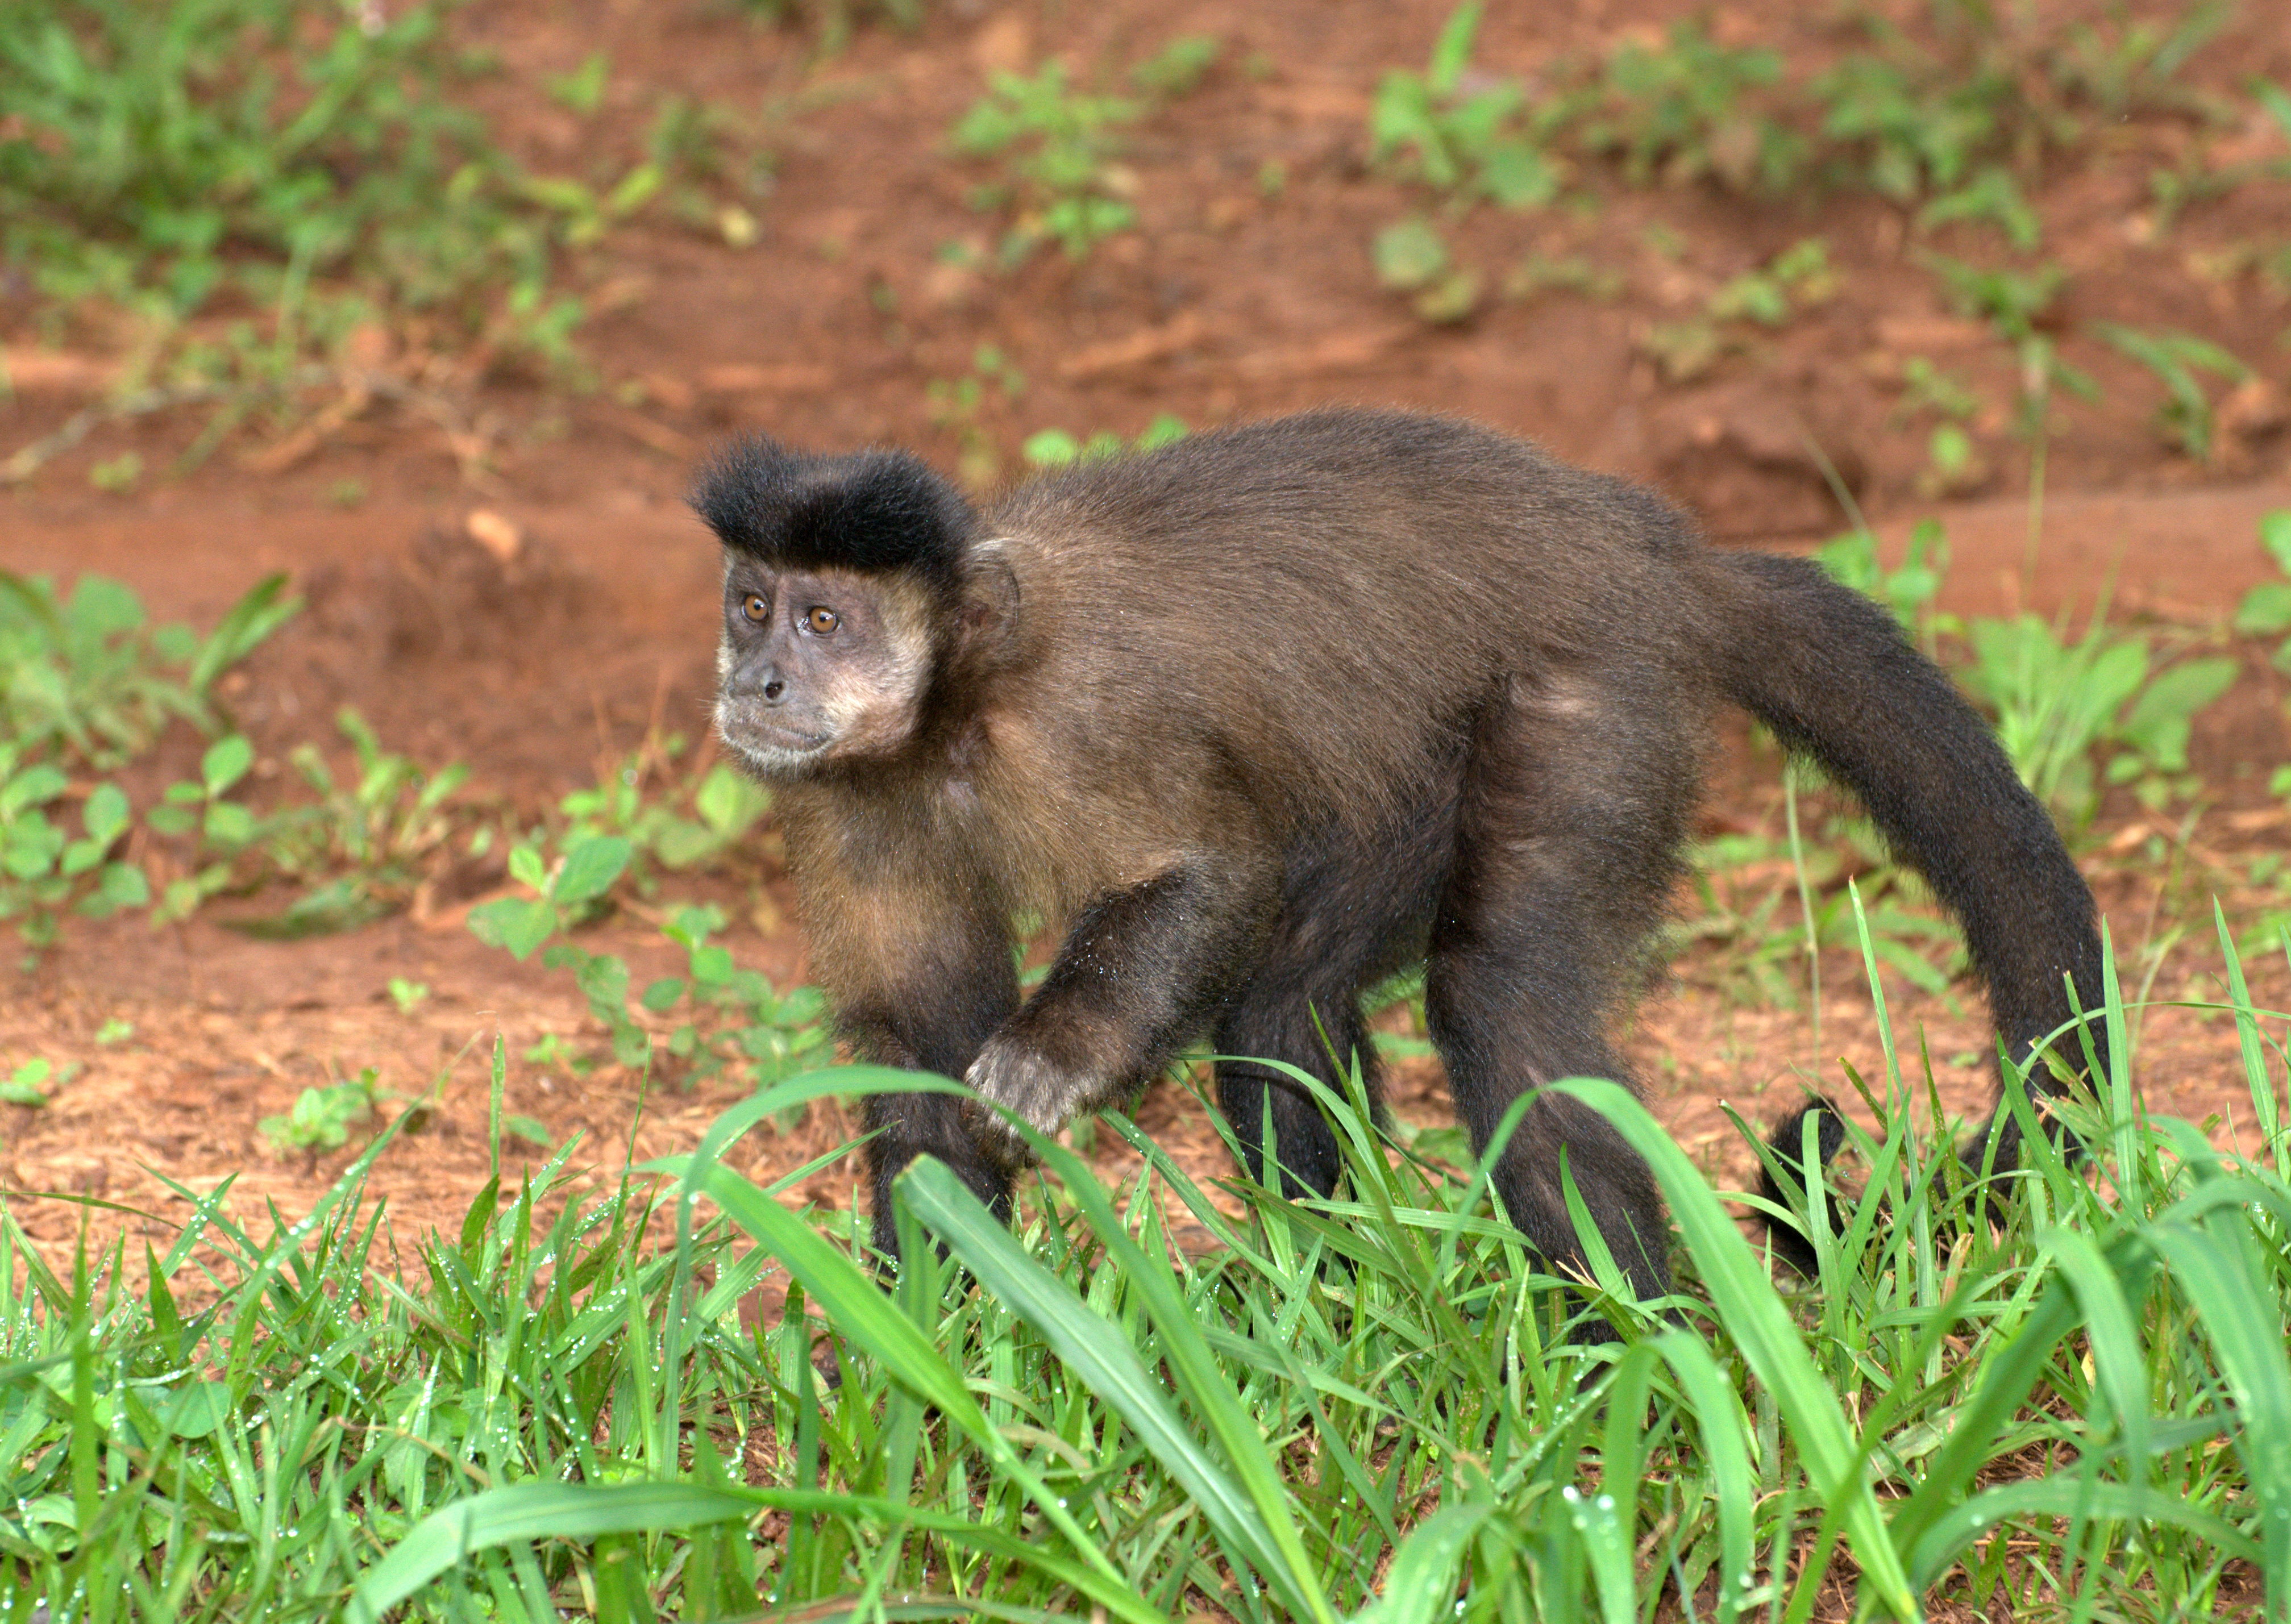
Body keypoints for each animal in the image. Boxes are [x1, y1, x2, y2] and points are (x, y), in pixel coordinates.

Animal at [683, 412, 2107, 1301]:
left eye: (824, 620)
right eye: (750, 605)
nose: (755, 682)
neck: (951, 715)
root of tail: (1657, 555)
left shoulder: (1086, 713)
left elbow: (1204, 875)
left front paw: (1051, 1056)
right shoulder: (839, 800)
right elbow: (918, 1051)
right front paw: (932, 1363)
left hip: (1592, 689)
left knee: (1493, 995)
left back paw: (1633, 1350)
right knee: (1280, 1000)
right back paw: (1332, 1291)